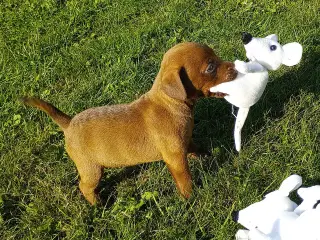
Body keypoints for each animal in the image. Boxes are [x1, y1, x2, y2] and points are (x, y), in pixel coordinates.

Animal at [21, 42, 238, 204]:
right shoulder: (175, 158)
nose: (236, 67)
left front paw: (203, 155)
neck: (171, 103)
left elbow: (193, 146)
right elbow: (184, 178)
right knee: (84, 186)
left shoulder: (183, 141)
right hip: (90, 169)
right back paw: (97, 204)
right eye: (210, 67)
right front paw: (190, 197)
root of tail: (69, 123)